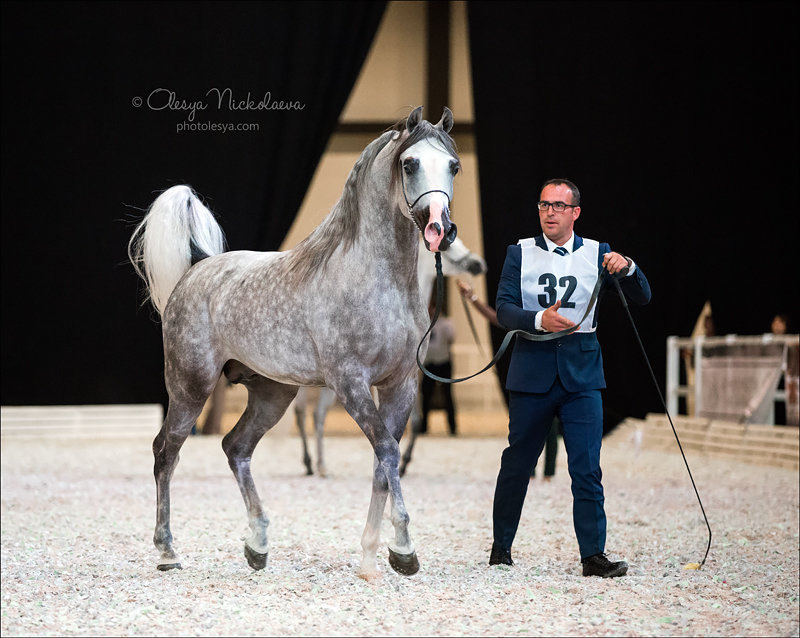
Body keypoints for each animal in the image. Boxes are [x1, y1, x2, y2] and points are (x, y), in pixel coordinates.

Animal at [128, 107, 460, 584]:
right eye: (410, 164)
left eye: (454, 166)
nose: (440, 229)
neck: (378, 282)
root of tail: (197, 268)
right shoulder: (350, 383)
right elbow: (387, 451)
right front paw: (403, 549)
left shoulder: (400, 385)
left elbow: (384, 462)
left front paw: (372, 557)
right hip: (189, 387)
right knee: (165, 453)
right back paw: (168, 551)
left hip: (273, 394)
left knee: (235, 447)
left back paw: (258, 545)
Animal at [290, 238, 484, 478]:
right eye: (450, 244)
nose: (478, 264)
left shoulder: (407, 377)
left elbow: (416, 421)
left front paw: (405, 462)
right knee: (303, 412)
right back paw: (313, 464)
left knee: (316, 414)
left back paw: (317, 465)